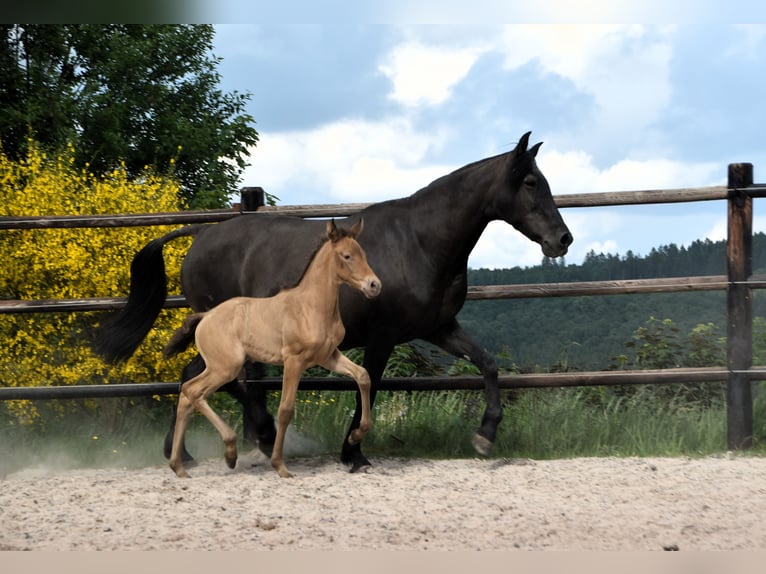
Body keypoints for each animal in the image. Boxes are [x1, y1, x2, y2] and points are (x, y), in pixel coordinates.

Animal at [162, 219, 380, 478]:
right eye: (347, 256)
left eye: (363, 254)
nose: (374, 285)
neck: (309, 307)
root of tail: (205, 316)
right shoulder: (294, 360)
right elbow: (285, 410)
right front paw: (280, 466)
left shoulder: (328, 356)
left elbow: (363, 376)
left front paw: (356, 435)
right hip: (225, 367)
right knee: (193, 391)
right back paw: (229, 453)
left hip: (219, 367)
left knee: (187, 396)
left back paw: (179, 466)